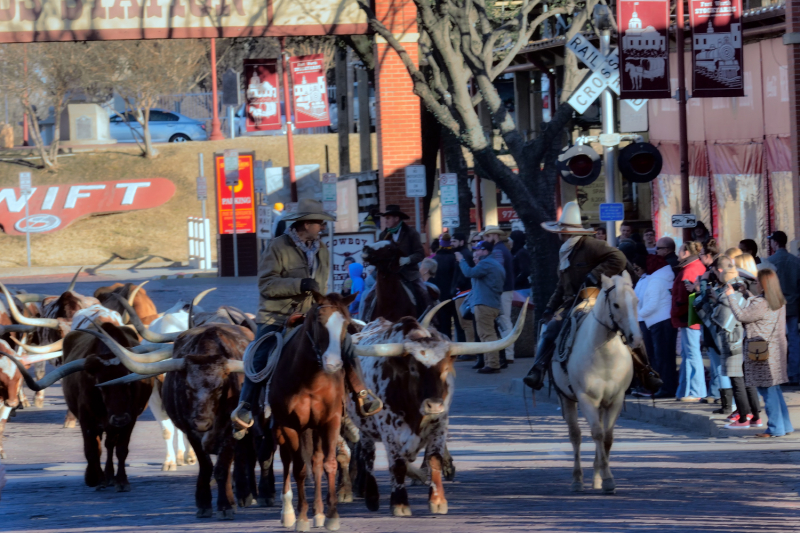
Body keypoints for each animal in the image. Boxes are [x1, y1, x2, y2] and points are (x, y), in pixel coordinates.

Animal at [270, 290, 354, 532]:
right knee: (287, 461)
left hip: (314, 428)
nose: (333, 364)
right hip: (282, 429)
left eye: (346, 324)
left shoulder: (330, 421)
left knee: (316, 461)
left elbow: (329, 463)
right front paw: (301, 518)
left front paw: (331, 515)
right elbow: (299, 468)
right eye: (319, 321)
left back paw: (318, 513)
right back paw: (288, 512)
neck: (310, 381)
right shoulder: (290, 425)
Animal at [552, 274, 644, 494]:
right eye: (616, 304)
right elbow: (596, 434)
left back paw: (596, 479)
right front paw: (606, 477)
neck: (605, 354)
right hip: (567, 399)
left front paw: (606, 478)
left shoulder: (616, 399)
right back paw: (577, 480)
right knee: (576, 436)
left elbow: (607, 437)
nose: (636, 338)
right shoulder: (587, 399)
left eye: (636, 301)